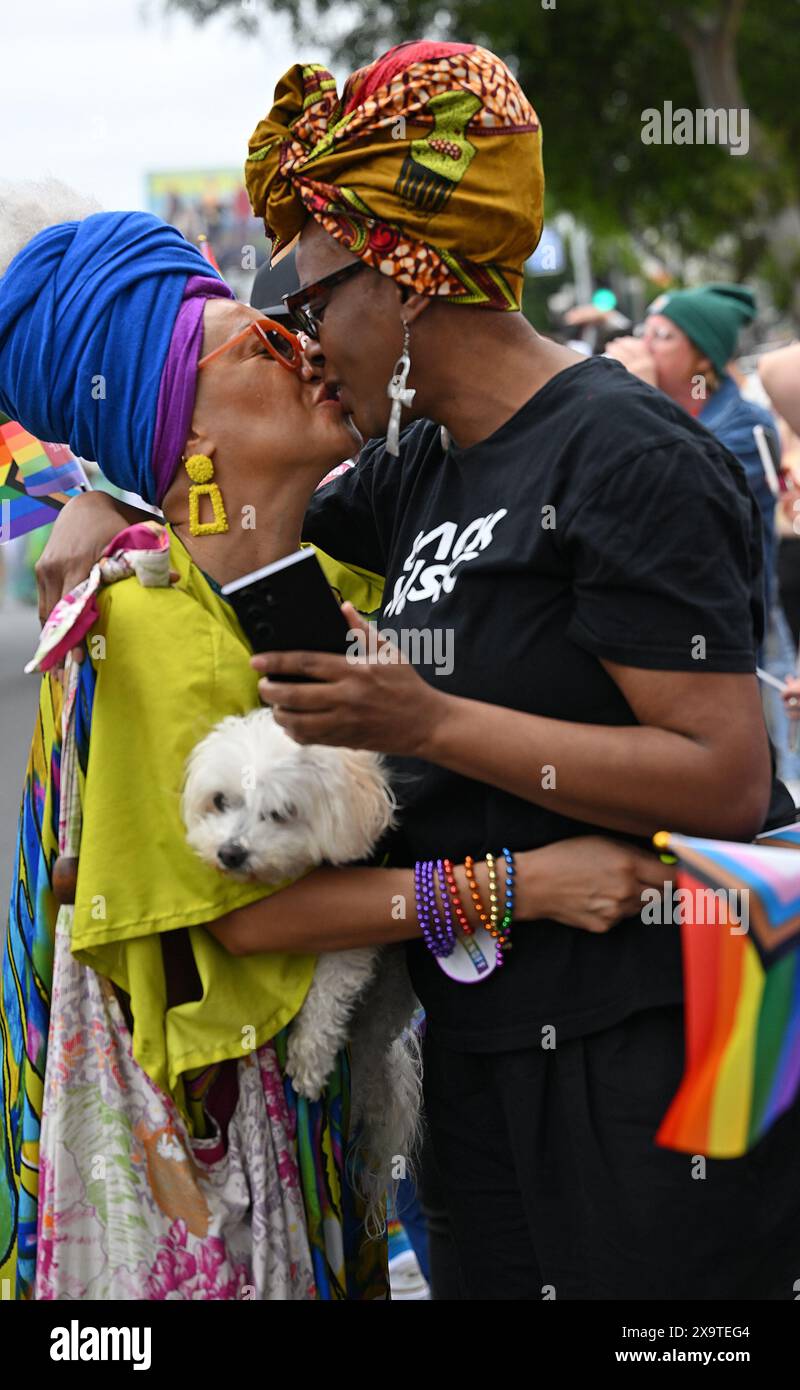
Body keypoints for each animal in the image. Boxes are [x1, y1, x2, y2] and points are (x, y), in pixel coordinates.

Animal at [180, 711, 419, 1223]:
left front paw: (309, 1058)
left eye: (280, 813)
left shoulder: (356, 920)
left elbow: (330, 985)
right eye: (220, 800)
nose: (230, 853)